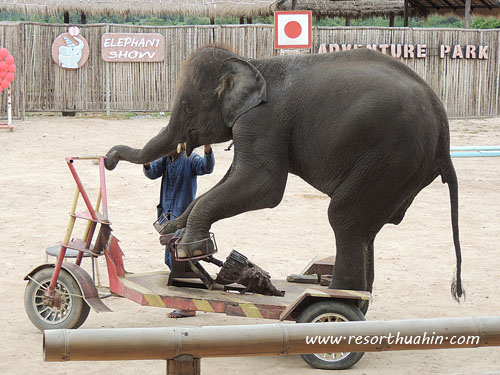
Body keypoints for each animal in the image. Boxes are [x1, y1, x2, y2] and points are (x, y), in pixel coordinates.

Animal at [104, 46, 464, 302]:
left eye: (189, 107)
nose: (108, 159)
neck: (251, 62)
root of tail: (442, 120)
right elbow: (230, 180)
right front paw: (172, 231)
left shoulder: (263, 121)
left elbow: (263, 185)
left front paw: (191, 247)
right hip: (401, 166)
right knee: (365, 227)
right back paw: (355, 295)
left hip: (391, 155)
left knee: (344, 216)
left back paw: (337, 296)